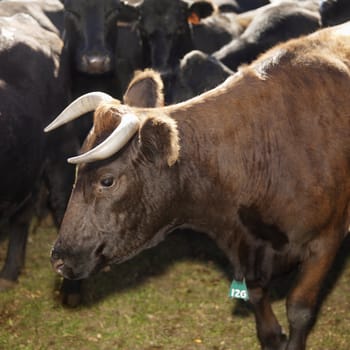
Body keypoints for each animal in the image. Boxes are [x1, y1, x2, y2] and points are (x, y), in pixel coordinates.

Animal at [45, 22, 350, 350]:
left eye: (107, 180)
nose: (58, 259)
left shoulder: (325, 240)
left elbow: (299, 309)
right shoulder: (243, 245)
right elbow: (257, 299)